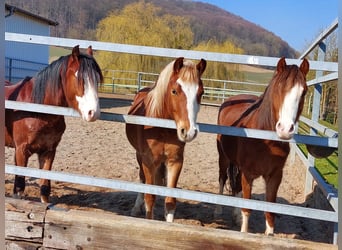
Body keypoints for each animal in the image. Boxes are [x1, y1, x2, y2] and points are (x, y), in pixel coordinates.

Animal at [5, 45, 102, 202]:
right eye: (79, 77)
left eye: (97, 78)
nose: (93, 112)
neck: (37, 111)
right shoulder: (21, 151)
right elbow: (19, 188)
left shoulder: (48, 151)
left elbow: (44, 188)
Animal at [125, 57, 206, 222]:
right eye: (174, 91)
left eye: (201, 93)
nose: (189, 132)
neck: (160, 128)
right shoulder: (148, 161)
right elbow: (150, 198)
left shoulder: (175, 162)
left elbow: (170, 200)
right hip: (139, 156)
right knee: (142, 179)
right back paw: (136, 208)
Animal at [216, 57, 310, 235]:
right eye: (279, 88)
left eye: (304, 92)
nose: (285, 129)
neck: (265, 141)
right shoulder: (248, 174)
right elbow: (247, 207)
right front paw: (244, 232)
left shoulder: (275, 176)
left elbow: (269, 210)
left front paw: (269, 234)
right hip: (223, 158)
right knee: (222, 179)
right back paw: (218, 209)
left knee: (236, 186)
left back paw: (235, 216)